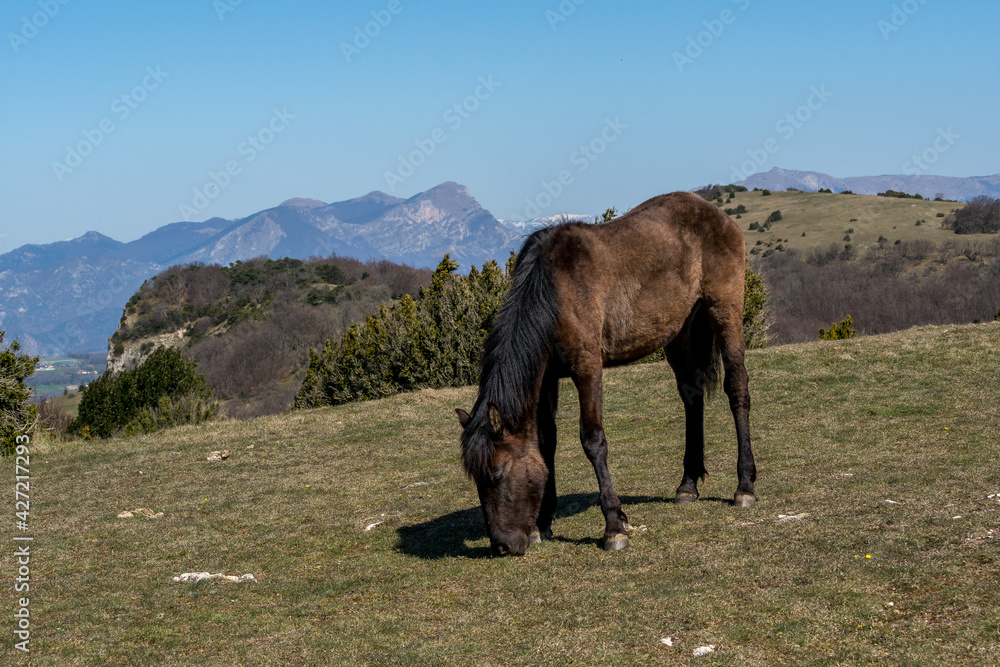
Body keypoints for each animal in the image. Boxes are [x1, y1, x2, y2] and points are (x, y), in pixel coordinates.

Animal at [455, 191, 758, 557]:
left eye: (497, 476)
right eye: (477, 481)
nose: (501, 545)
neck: (554, 290)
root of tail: (717, 214)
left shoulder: (587, 367)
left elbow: (593, 440)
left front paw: (614, 526)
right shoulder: (546, 378)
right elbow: (546, 442)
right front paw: (543, 522)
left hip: (725, 311)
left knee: (737, 389)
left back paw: (744, 486)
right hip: (680, 331)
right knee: (692, 395)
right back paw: (687, 485)